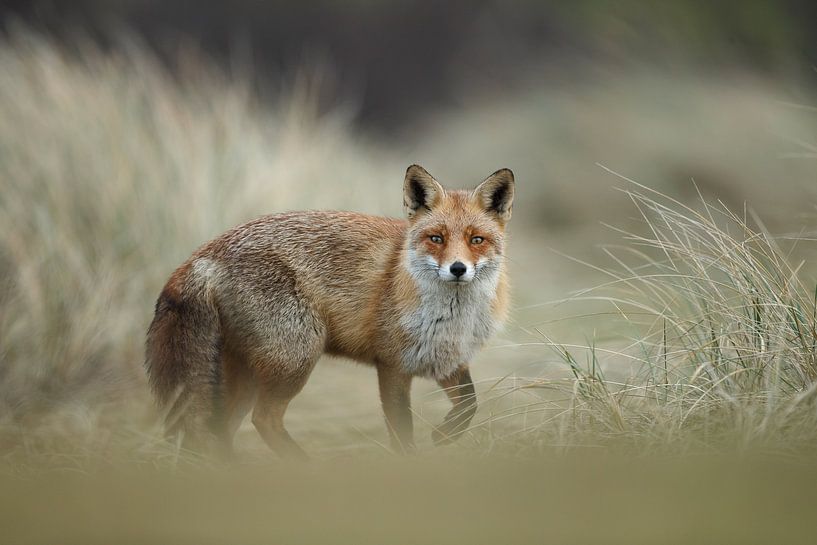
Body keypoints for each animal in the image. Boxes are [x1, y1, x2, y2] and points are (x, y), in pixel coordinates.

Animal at [146, 164, 512, 456]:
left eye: (476, 240)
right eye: (436, 238)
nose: (458, 269)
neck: (451, 320)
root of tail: (204, 253)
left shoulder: (447, 359)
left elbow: (470, 405)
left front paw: (445, 435)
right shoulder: (392, 365)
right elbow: (403, 436)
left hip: (247, 373)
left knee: (220, 429)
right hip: (295, 357)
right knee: (263, 419)